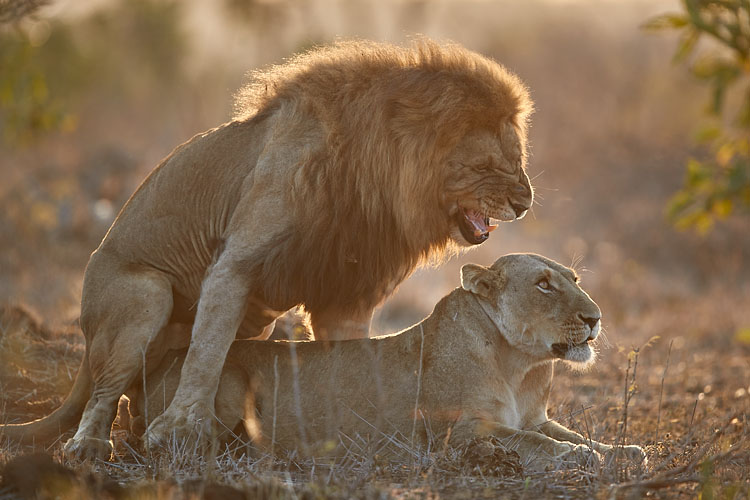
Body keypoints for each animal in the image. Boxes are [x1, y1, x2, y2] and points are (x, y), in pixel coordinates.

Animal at [0, 39, 534, 460]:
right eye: (490, 165)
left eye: (519, 159)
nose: (525, 202)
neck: (371, 174)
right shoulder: (234, 265)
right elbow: (207, 352)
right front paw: (180, 432)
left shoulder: (347, 293)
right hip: (143, 294)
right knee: (104, 391)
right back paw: (90, 445)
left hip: (255, 321)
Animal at [123, 253, 646, 470]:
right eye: (543, 284)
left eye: (574, 279)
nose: (595, 317)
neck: (519, 366)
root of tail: (155, 368)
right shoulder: (460, 434)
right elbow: (536, 445)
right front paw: (581, 458)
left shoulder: (537, 417)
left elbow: (573, 435)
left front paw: (624, 450)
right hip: (226, 379)